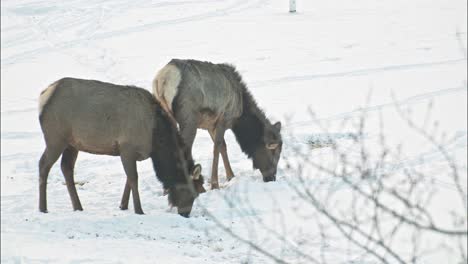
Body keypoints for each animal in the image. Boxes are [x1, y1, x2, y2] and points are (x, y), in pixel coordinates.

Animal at [36, 77, 205, 218]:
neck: (155, 138)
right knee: (43, 164)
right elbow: (133, 178)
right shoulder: (127, 147)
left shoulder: (130, 153)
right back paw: (43, 208)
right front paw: (139, 210)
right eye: (191, 191)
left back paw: (78, 206)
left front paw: (123, 206)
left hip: (72, 143)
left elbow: (129, 180)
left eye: (198, 192)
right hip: (55, 138)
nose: (185, 214)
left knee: (66, 167)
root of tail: (44, 96)